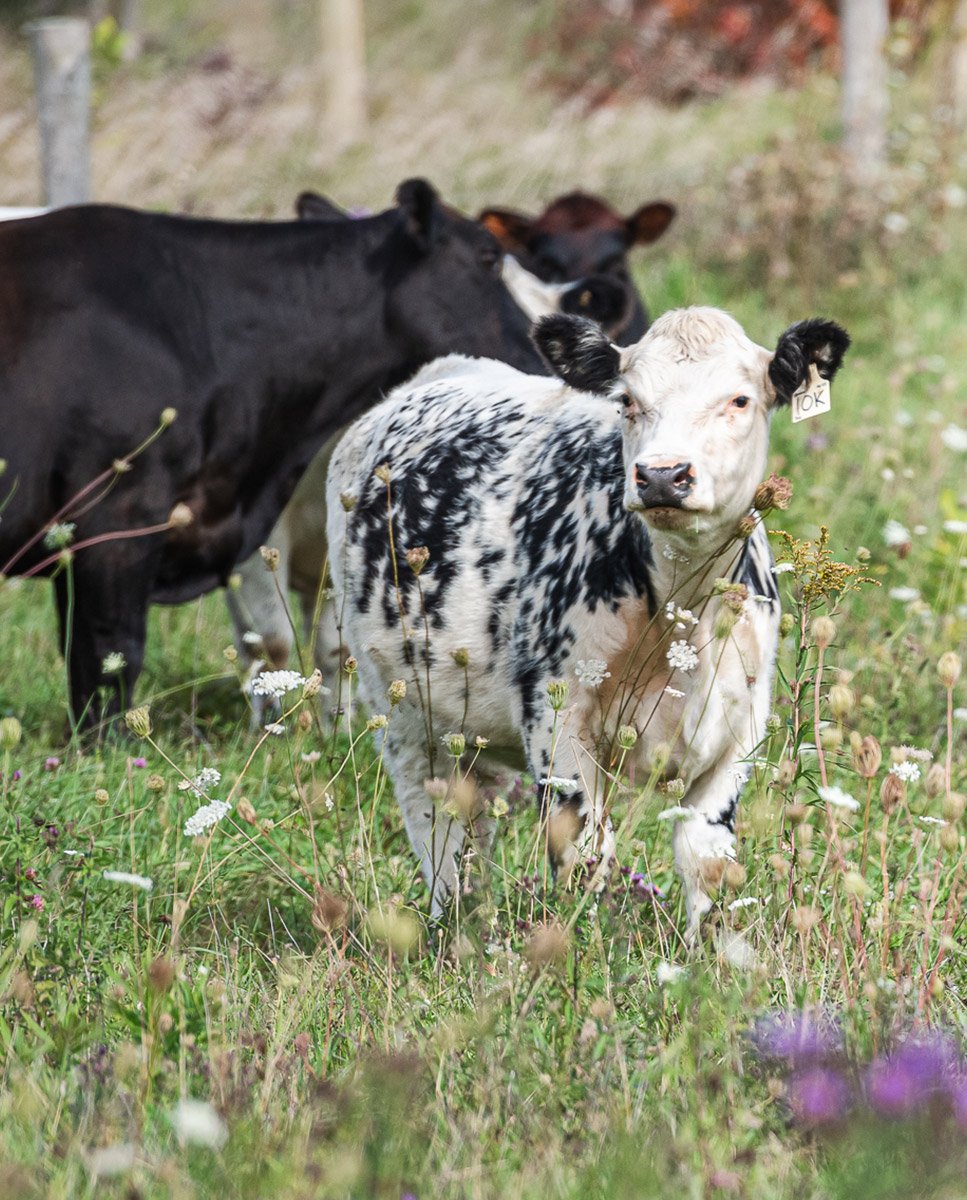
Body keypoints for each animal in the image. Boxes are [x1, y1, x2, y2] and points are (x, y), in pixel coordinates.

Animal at [328, 304, 854, 931]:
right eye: (627, 399)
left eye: (740, 399)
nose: (661, 474)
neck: (681, 611)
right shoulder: (555, 723)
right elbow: (585, 859)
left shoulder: (739, 731)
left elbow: (707, 866)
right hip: (405, 717)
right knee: (439, 836)